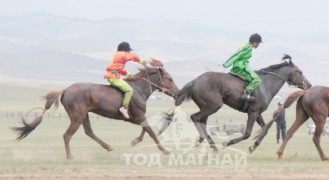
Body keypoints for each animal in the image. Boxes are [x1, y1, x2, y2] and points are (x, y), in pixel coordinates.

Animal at [11, 59, 178, 160]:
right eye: (170, 78)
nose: (177, 92)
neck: (139, 89)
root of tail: (65, 90)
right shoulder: (137, 115)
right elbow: (151, 131)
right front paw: (165, 150)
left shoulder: (136, 118)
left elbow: (146, 129)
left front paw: (135, 141)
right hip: (77, 117)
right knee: (67, 135)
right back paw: (70, 156)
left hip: (84, 115)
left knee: (89, 132)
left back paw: (108, 147)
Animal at [159, 54, 310, 152]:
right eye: (300, 72)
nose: (308, 85)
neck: (266, 85)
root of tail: (195, 81)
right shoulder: (252, 112)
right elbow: (247, 133)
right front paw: (228, 142)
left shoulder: (257, 113)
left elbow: (265, 129)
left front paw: (254, 146)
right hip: (214, 105)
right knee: (195, 117)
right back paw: (210, 144)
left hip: (206, 106)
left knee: (201, 121)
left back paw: (205, 142)